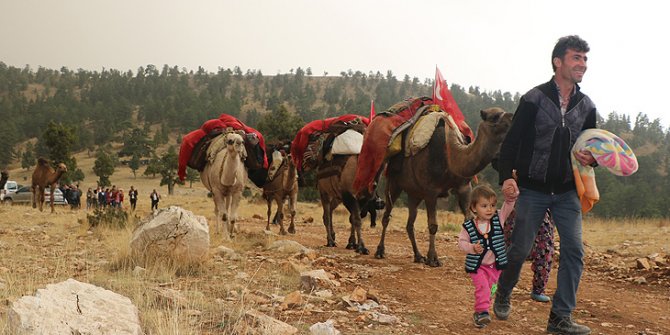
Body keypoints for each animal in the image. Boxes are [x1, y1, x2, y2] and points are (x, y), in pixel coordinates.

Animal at [376, 108, 512, 268]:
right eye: (495, 117)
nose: (512, 117)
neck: (450, 157)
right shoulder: (430, 192)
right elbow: (433, 225)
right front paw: (433, 259)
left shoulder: (464, 187)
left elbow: (468, 218)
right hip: (393, 183)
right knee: (386, 216)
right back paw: (380, 251)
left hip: (414, 194)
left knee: (410, 224)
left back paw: (418, 255)